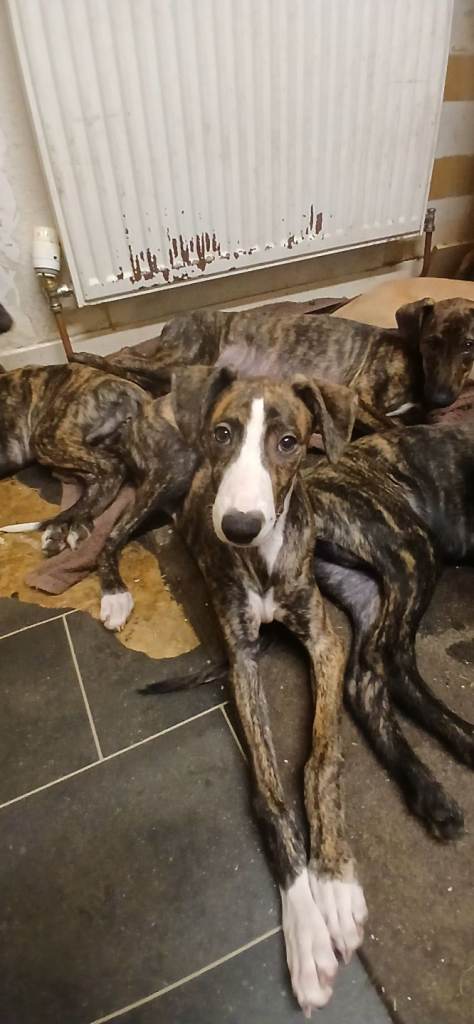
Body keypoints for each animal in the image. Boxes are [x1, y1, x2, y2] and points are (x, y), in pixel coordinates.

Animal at [0, 363, 147, 553]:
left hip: (47, 438)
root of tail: (127, 387)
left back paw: (70, 526)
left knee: (113, 468)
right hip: (70, 457)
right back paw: (68, 527)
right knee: (96, 479)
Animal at [73, 297, 474, 425]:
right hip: (187, 357)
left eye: (469, 346)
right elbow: (395, 427)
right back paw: (83, 355)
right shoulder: (360, 396)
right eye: (432, 343)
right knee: (125, 357)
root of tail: (175, 321)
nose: (440, 399)